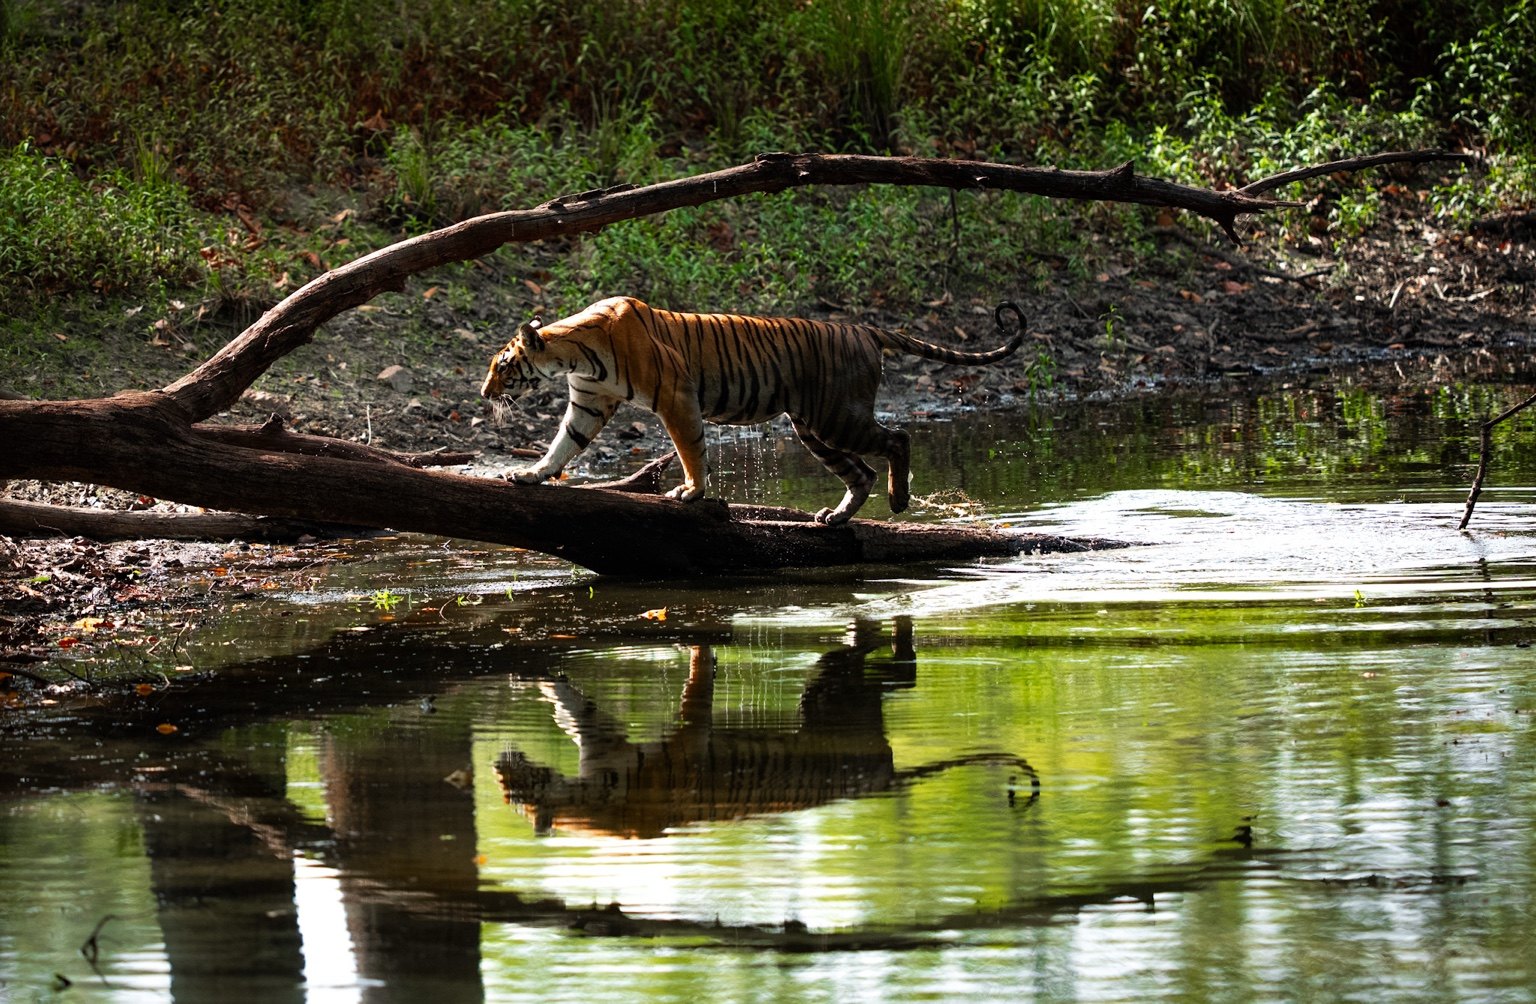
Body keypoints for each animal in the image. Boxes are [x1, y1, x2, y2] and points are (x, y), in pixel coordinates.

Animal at [480, 295, 1025, 525]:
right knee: (862, 472)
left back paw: (898, 501)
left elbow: (690, 450)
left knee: (897, 439)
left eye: (503, 366)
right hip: (814, 428)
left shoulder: (677, 398)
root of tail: (864, 328)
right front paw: (529, 475)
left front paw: (691, 492)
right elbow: (561, 446)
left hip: (837, 418)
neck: (573, 355)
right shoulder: (589, 404)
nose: (485, 394)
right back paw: (836, 517)